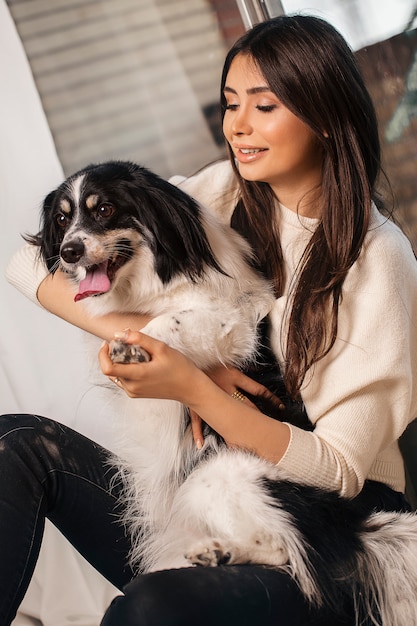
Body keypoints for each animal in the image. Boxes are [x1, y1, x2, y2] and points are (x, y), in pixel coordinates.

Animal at [30, 160, 417, 620]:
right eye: (62, 220)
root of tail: (353, 528)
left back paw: (224, 555)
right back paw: (218, 553)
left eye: (104, 209)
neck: (157, 280)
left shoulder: (233, 324)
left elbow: (168, 322)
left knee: (284, 549)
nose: (69, 252)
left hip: (214, 475)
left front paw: (132, 345)